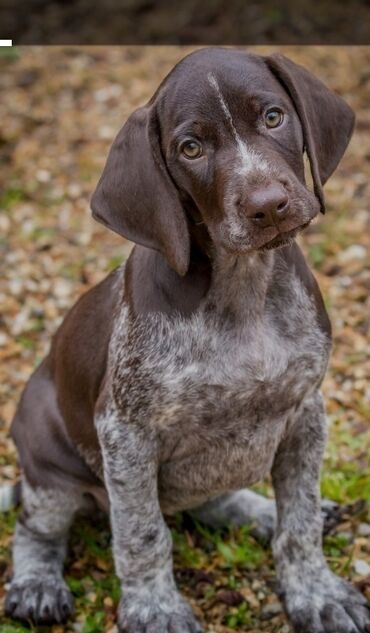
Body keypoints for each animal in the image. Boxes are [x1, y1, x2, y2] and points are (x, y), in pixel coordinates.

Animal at [6, 49, 370, 632]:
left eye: (274, 117)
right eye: (191, 148)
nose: (268, 205)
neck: (243, 291)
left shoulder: (305, 412)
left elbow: (301, 520)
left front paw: (316, 592)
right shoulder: (125, 434)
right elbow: (143, 533)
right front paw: (155, 609)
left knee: (208, 500)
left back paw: (257, 511)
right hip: (49, 463)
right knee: (37, 525)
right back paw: (37, 585)